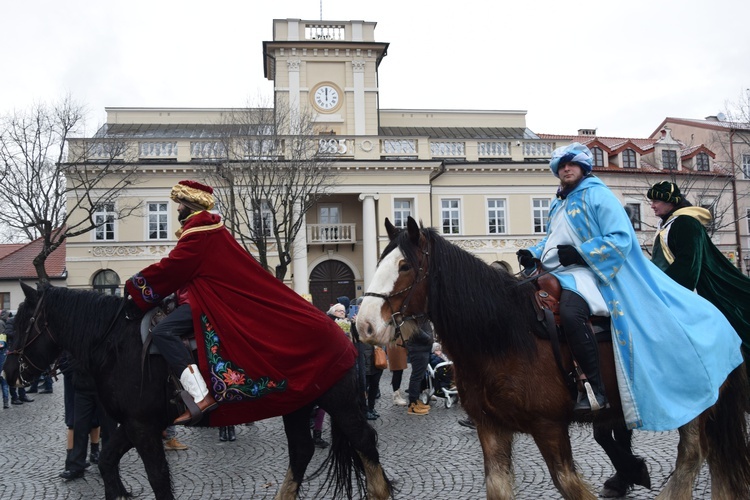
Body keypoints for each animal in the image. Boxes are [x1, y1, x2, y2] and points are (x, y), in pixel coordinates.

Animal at [5, 284, 394, 500]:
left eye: (23, 323)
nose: (10, 374)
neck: (115, 342)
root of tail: (339, 325)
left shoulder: (142, 427)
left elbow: (159, 480)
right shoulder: (134, 425)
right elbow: (106, 462)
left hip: (339, 401)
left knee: (364, 441)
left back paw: (381, 492)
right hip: (298, 405)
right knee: (301, 451)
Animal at [356, 218, 750, 500]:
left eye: (404, 266)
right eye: (380, 262)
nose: (363, 324)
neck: (503, 335)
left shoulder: (549, 427)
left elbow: (569, 485)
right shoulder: (491, 426)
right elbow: (498, 488)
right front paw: (630, 471)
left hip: (694, 402)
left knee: (693, 454)